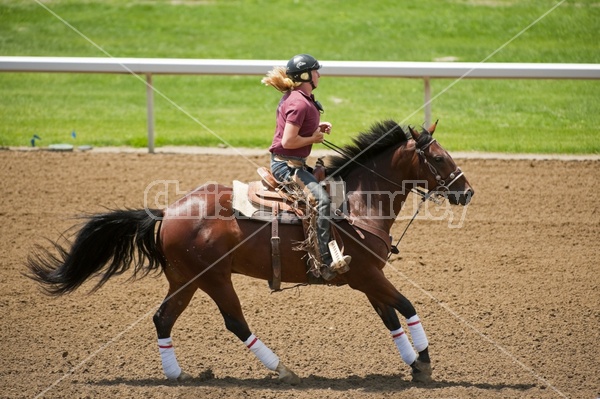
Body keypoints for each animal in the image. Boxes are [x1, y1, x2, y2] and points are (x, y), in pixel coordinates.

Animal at [25, 120, 474, 386]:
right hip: (214, 278)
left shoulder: (365, 280)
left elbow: (390, 318)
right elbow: (408, 306)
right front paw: (425, 362)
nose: (466, 191)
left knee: (163, 318)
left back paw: (176, 375)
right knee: (235, 322)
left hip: (185, 279)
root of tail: (167, 211)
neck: (356, 204)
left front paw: (413, 364)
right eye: (438, 157)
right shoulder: (368, 276)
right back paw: (283, 369)